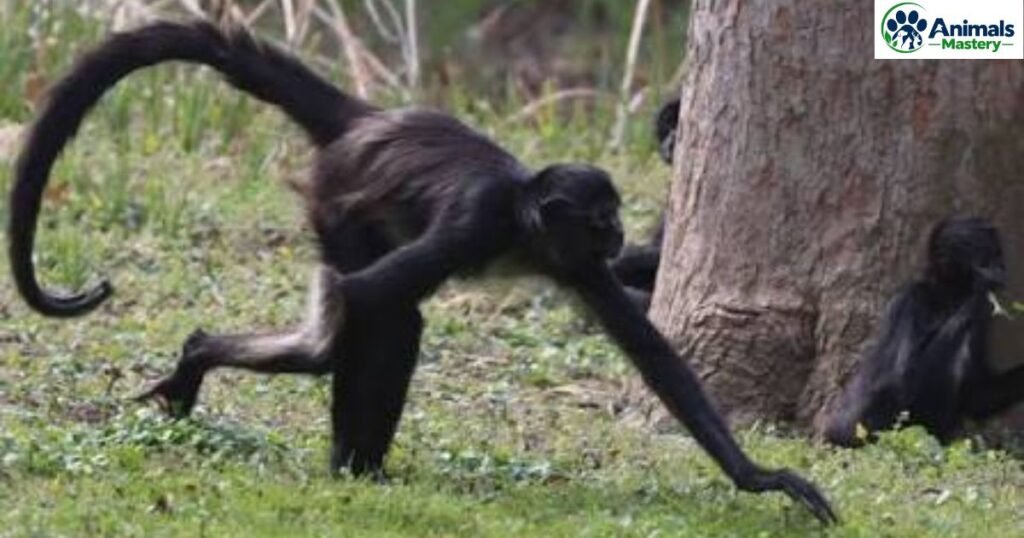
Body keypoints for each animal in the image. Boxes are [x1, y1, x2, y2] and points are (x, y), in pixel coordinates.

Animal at [7, 21, 836, 523]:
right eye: (603, 218)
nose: (621, 233)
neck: (523, 220)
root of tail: (370, 121)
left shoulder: (578, 267)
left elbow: (656, 354)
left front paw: (757, 477)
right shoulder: (480, 224)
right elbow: (362, 301)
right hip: (338, 203)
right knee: (375, 316)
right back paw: (342, 453)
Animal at [825, 216, 1024, 447]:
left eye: (998, 254)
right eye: (992, 255)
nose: (1002, 266)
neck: (947, 296)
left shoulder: (980, 325)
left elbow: (978, 396)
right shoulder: (912, 298)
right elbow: (901, 378)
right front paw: (982, 289)